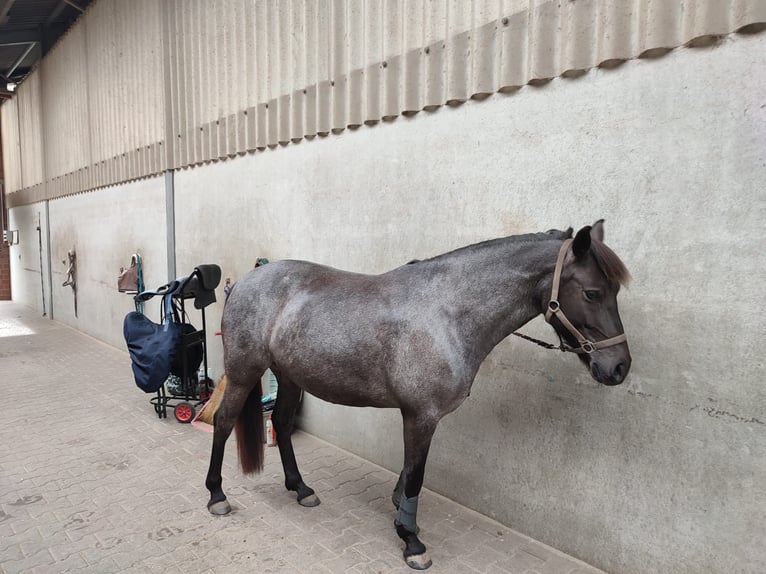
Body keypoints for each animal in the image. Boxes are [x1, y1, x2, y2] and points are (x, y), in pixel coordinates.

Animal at [204, 220, 632, 572]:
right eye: (592, 292)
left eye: (614, 290)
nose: (619, 367)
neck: (447, 314)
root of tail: (244, 281)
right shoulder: (420, 415)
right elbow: (416, 476)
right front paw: (411, 541)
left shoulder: (421, 416)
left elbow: (409, 473)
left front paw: (401, 517)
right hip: (244, 372)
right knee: (224, 423)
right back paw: (217, 495)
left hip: (290, 376)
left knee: (280, 422)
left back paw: (301, 489)